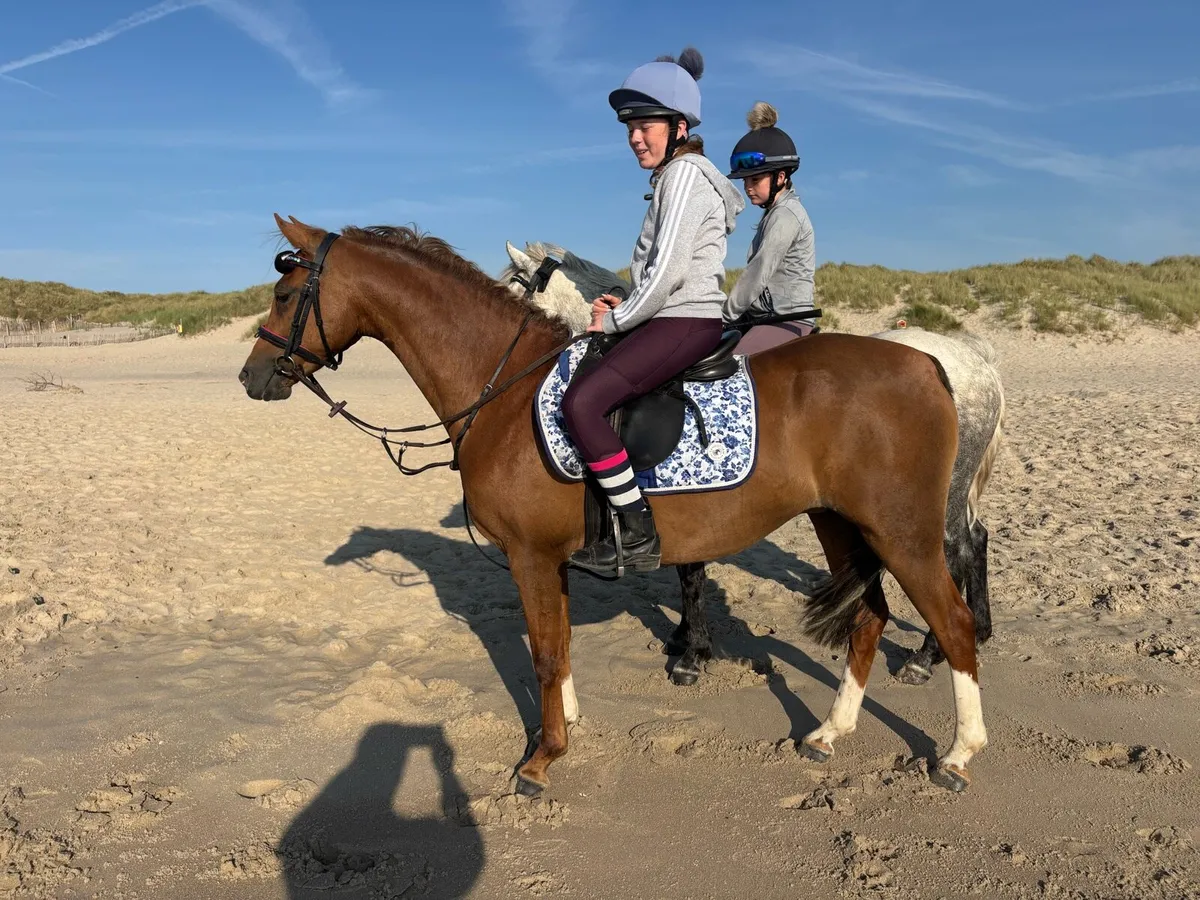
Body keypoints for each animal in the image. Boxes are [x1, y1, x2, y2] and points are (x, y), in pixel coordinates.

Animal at [500, 241, 1006, 688]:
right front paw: (684, 637)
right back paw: (978, 630)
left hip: (935, 493)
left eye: (512, 286)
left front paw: (693, 653)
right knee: (976, 539)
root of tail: (972, 359)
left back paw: (927, 656)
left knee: (955, 553)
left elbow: (690, 572)